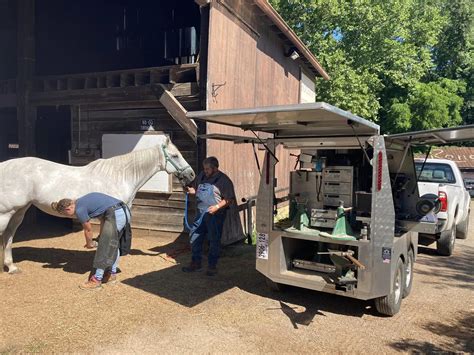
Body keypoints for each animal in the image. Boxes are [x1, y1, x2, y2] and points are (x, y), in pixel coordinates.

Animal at [0, 138, 194, 274]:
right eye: (175, 156)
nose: (191, 175)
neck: (119, 176)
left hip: (19, 211)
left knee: (9, 236)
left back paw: (12, 267)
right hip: (6, 213)